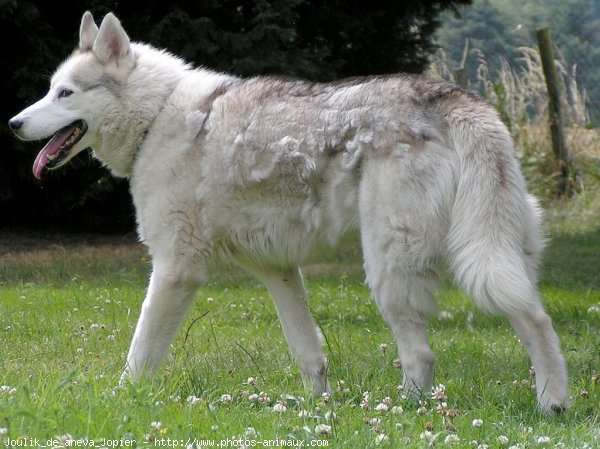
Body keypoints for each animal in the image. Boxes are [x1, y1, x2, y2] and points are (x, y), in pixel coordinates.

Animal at [10, 11, 572, 410]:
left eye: (65, 93)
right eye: (48, 90)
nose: (13, 124)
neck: (159, 114)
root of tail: (452, 96)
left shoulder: (175, 269)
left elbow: (139, 354)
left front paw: (120, 402)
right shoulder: (276, 270)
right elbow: (309, 352)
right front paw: (316, 410)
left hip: (393, 271)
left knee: (424, 353)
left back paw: (408, 411)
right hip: (494, 255)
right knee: (537, 317)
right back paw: (553, 403)